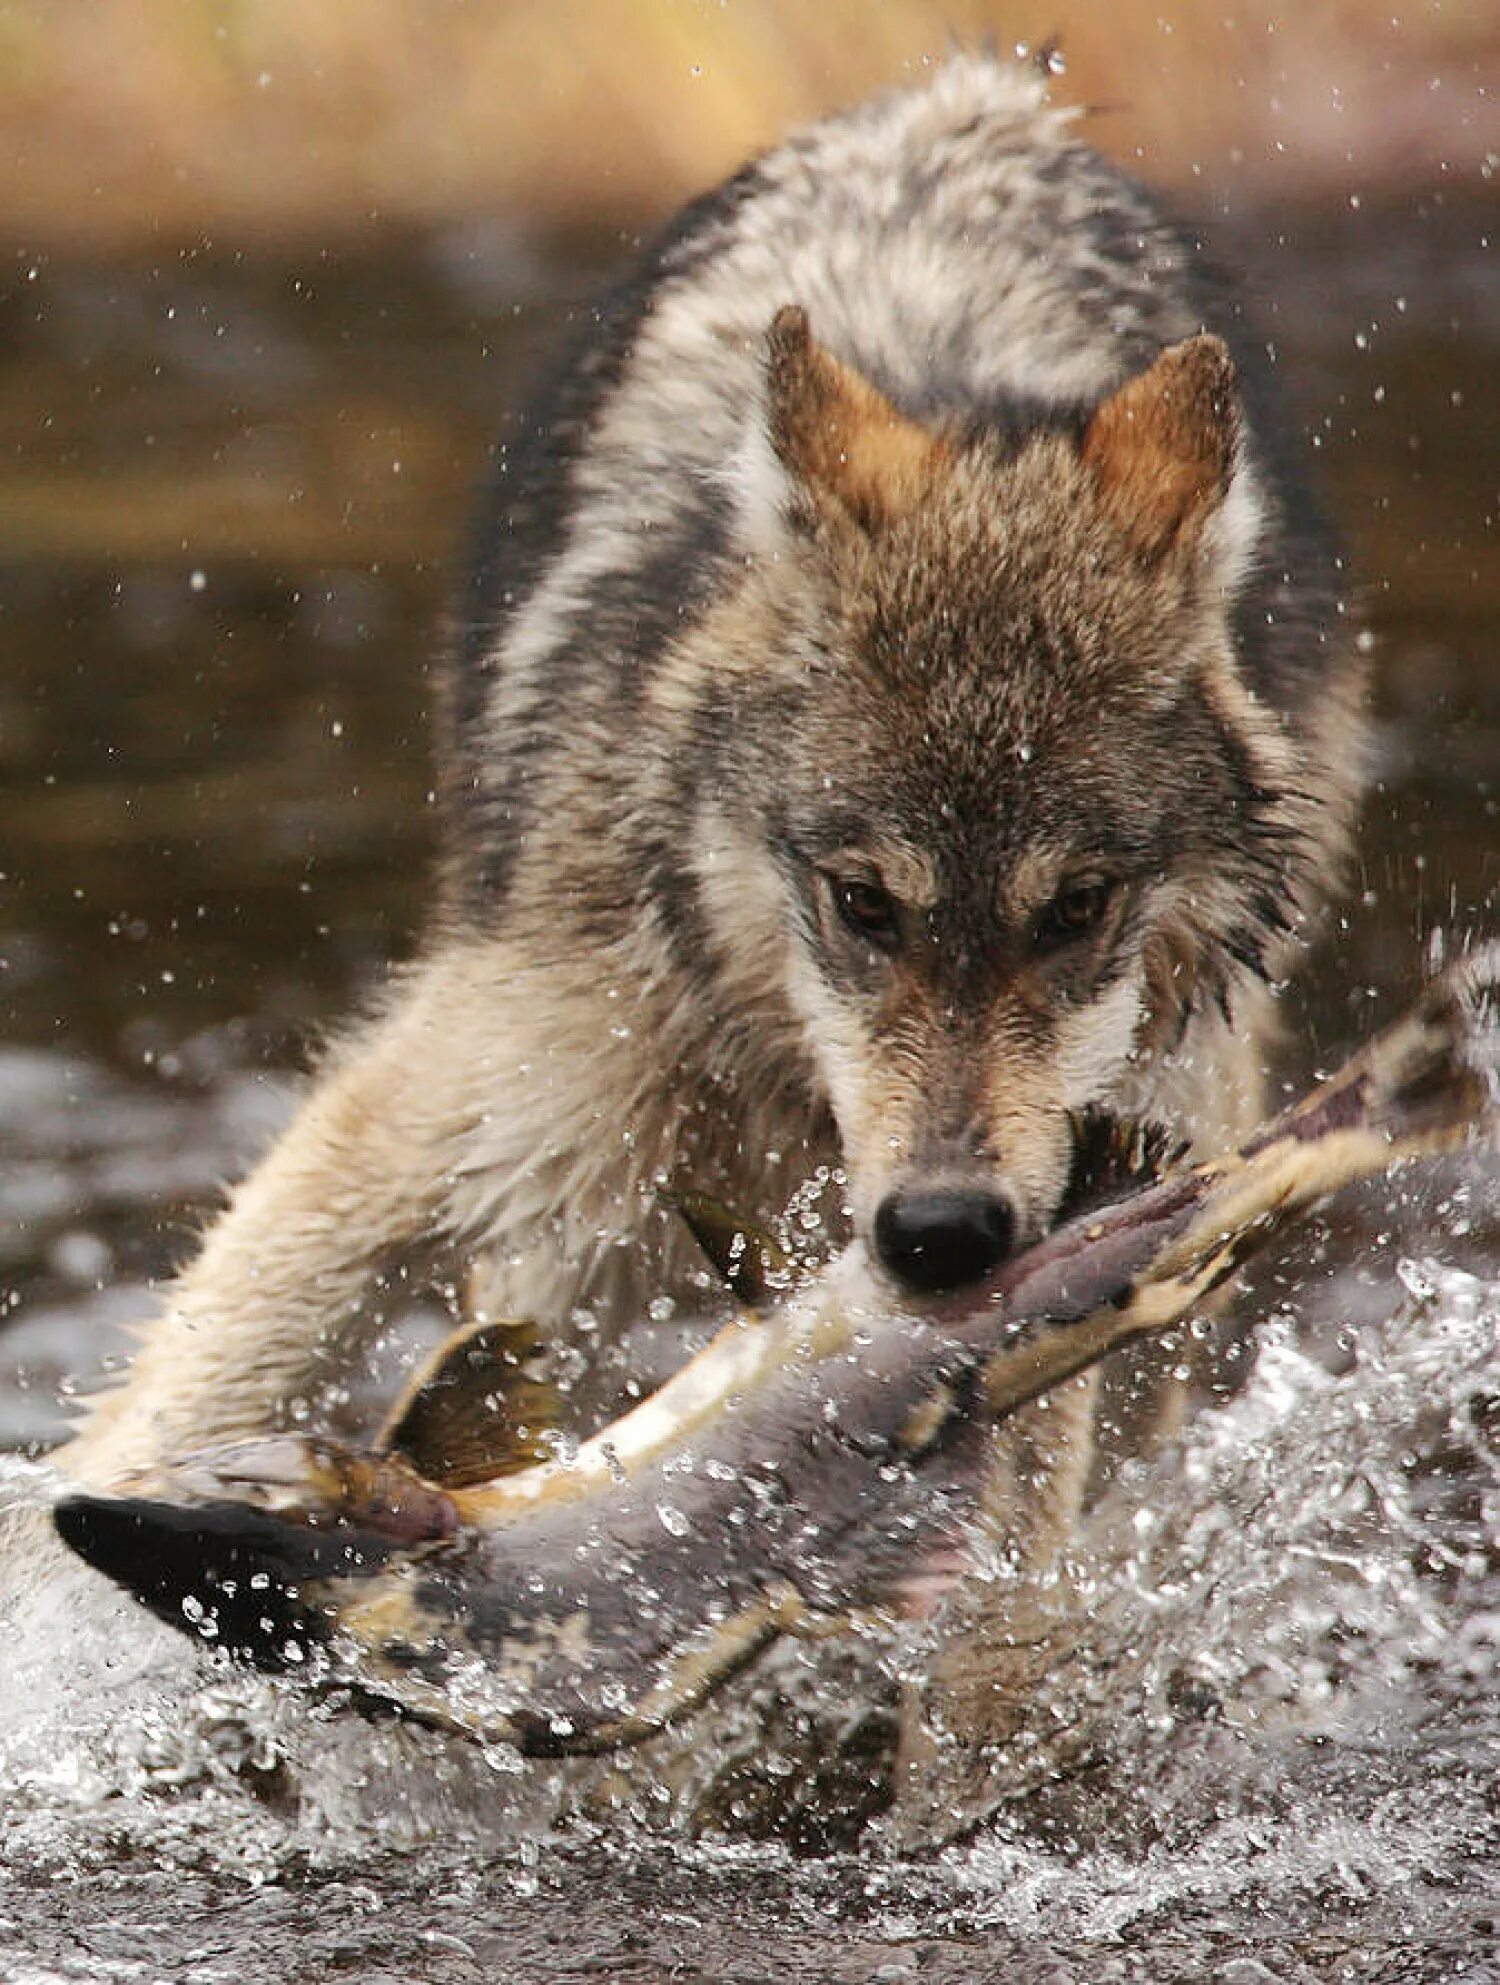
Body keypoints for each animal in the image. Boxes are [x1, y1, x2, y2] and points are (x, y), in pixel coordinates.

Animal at [64, 58, 1365, 1770]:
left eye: (1076, 907)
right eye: (861, 901)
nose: (943, 1236)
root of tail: (966, 100)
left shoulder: (1091, 1228)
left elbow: (1000, 1611)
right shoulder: (441, 1121)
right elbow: (153, 1414)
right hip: (551, 1224)